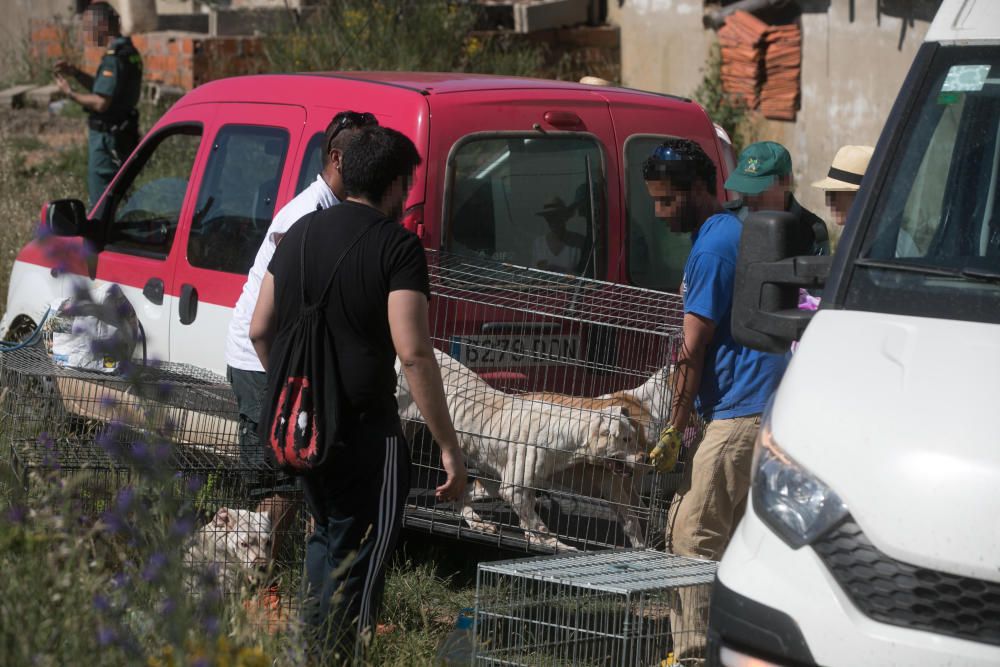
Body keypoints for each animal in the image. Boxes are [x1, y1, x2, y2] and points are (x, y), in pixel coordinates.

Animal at [398, 352, 640, 552]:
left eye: (633, 437)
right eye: (626, 439)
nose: (644, 458)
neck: (564, 433)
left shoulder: (506, 484)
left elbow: (528, 520)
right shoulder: (513, 489)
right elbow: (540, 526)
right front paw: (560, 547)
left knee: (461, 494)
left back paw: (477, 523)